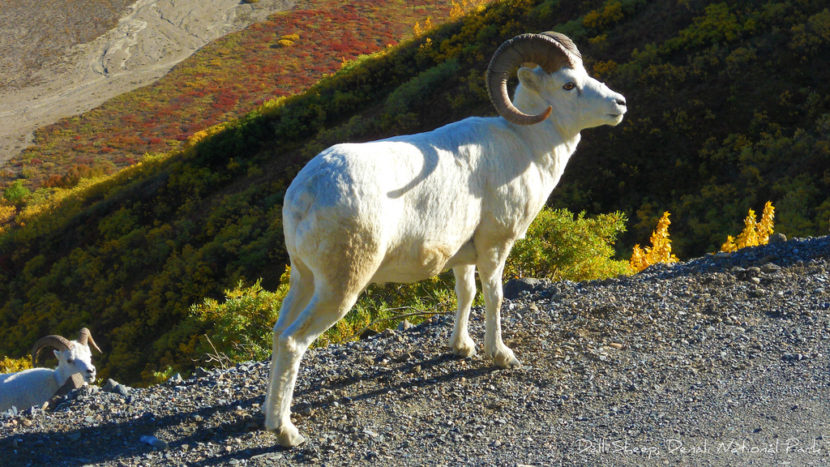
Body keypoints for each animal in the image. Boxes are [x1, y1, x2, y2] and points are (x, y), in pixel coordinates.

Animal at [263, 31, 627, 447]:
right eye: (568, 84)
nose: (619, 104)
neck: (526, 144)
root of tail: (305, 193)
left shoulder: (463, 257)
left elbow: (465, 294)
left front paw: (462, 349)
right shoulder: (494, 247)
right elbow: (494, 297)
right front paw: (501, 356)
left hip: (304, 278)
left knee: (278, 333)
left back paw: (270, 419)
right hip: (340, 287)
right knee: (293, 341)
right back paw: (287, 433)